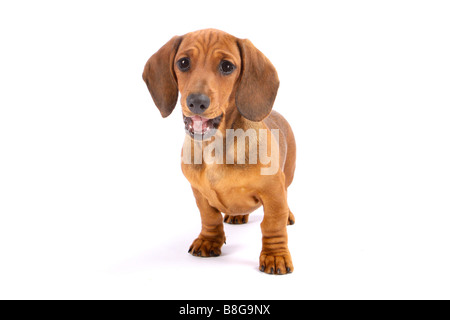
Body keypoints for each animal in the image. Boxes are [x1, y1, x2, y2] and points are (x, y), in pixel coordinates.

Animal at [143, 28, 296, 274]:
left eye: (227, 66)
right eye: (183, 62)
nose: (196, 102)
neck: (215, 145)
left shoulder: (273, 191)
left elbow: (273, 223)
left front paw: (275, 255)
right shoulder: (199, 192)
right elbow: (209, 216)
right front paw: (209, 240)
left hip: (288, 174)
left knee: (287, 197)